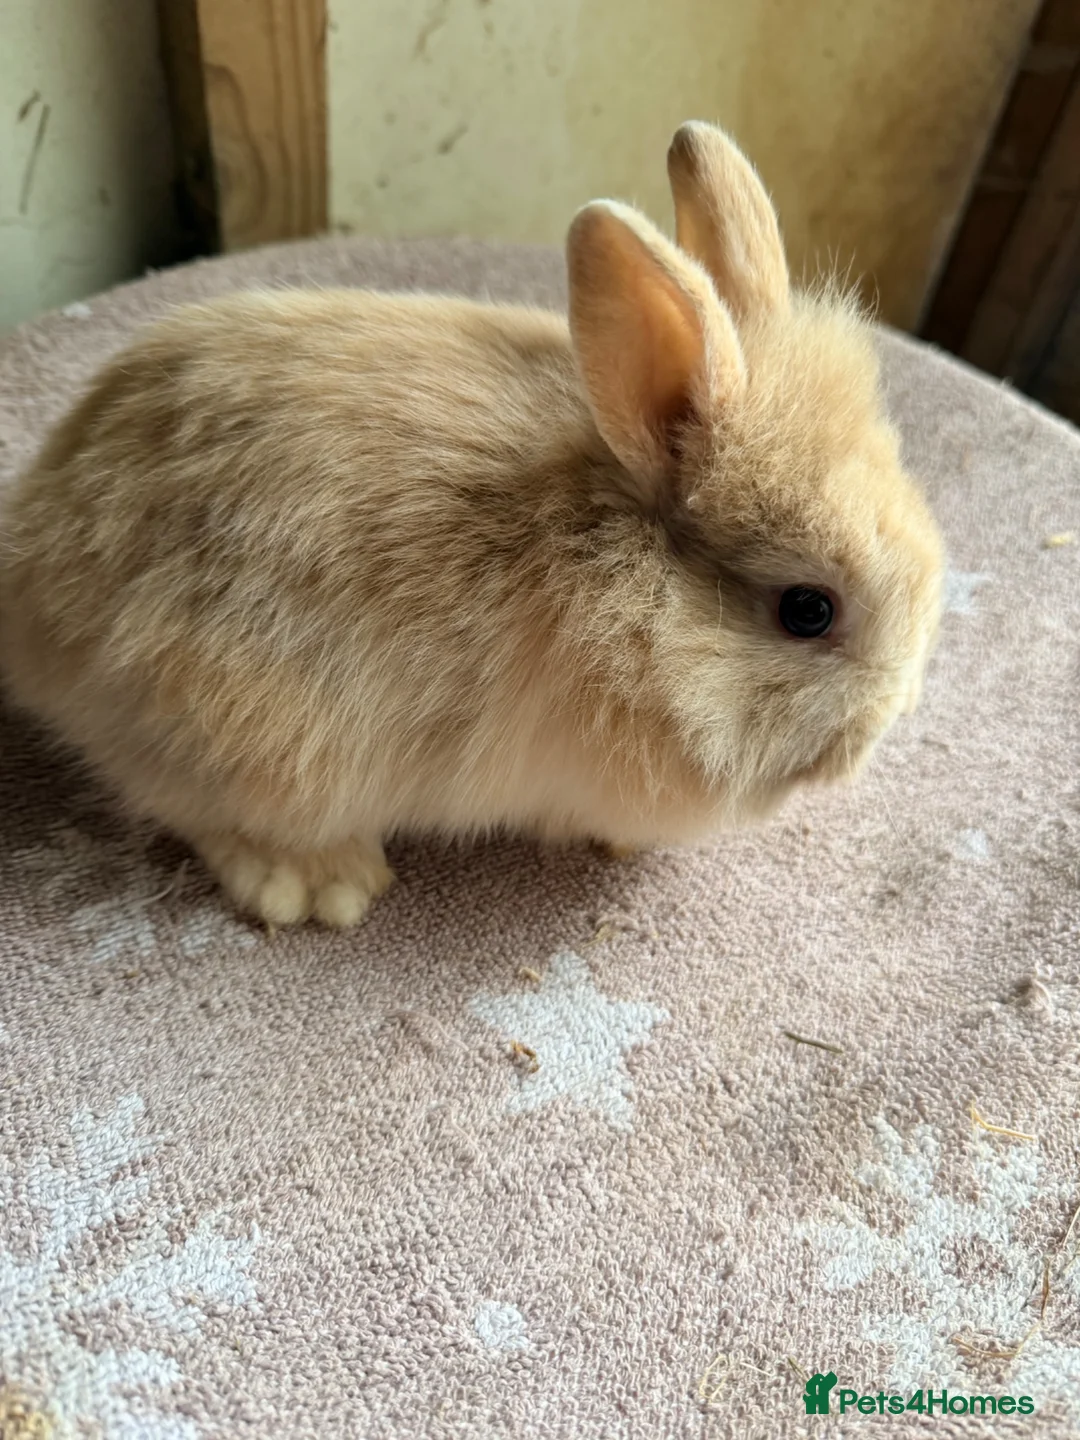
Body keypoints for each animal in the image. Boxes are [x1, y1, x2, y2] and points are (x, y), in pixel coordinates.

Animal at [0, 121, 944, 928]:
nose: (889, 716)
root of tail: (33, 565)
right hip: (241, 738)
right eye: (807, 611)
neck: (629, 586)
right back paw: (319, 884)